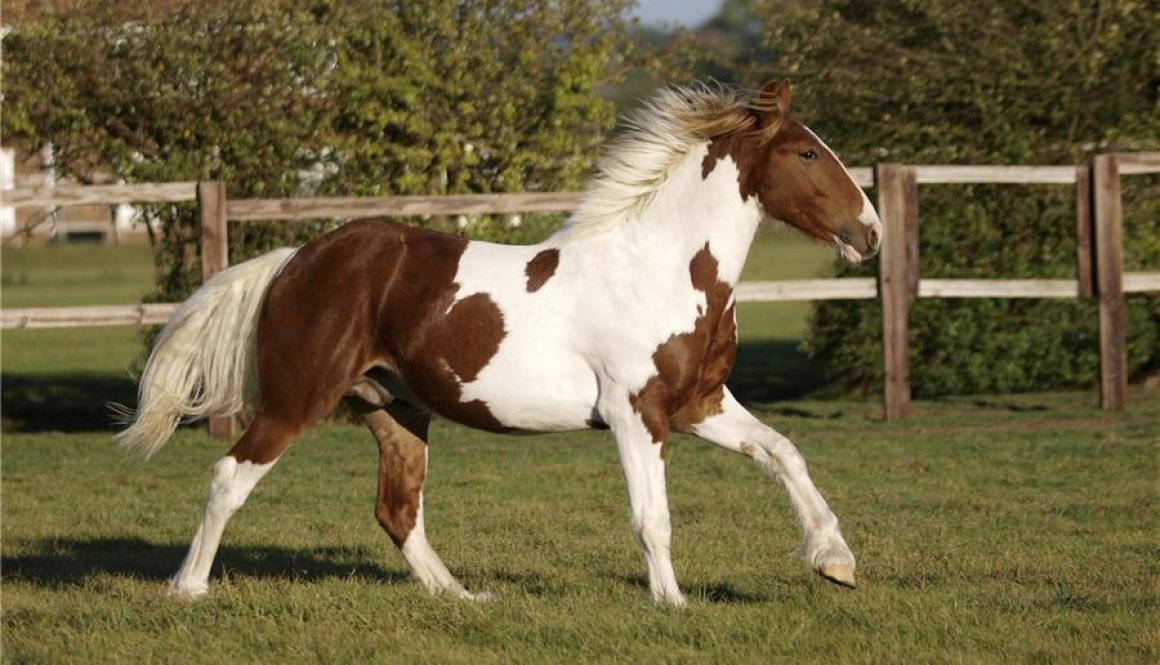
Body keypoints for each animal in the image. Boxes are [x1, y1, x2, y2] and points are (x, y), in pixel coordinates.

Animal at [116, 80, 882, 607]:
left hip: (396, 410)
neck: (659, 268)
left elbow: (783, 452)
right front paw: (674, 603)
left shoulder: (699, 402)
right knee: (229, 476)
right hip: (296, 399)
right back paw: (187, 589)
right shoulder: (636, 412)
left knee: (398, 510)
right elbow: (652, 516)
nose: (869, 233)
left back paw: (462, 597)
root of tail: (295, 260)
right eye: (808, 152)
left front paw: (836, 561)